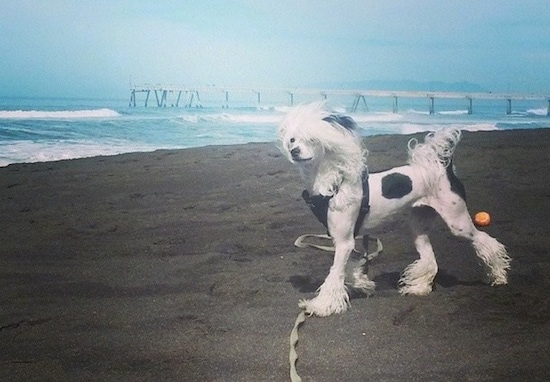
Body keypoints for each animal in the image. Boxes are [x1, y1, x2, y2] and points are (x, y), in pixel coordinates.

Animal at [280, 102, 512, 316]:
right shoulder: (344, 240)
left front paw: (321, 305)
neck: (333, 184)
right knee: (430, 260)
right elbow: (350, 268)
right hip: (419, 226)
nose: (294, 151)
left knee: (485, 241)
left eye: (312, 140)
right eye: (293, 139)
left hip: (458, 222)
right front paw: (363, 284)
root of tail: (443, 168)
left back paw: (498, 275)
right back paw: (419, 287)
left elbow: (335, 274)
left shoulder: (344, 241)